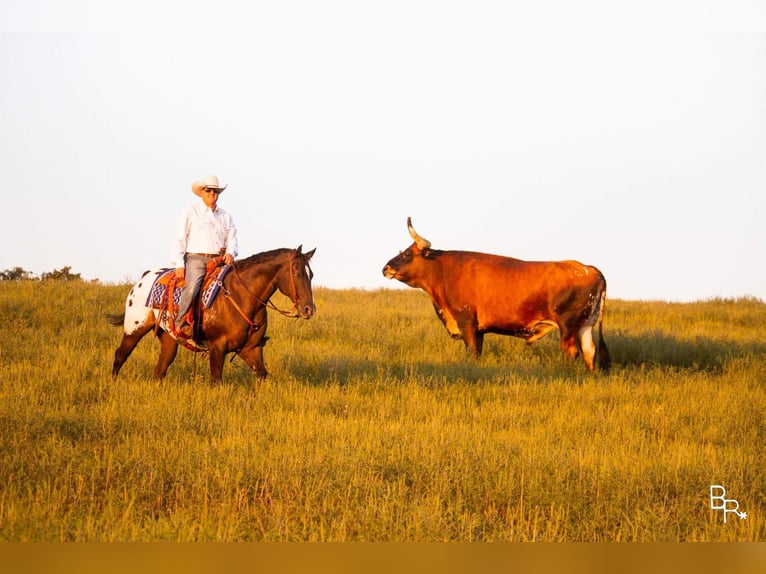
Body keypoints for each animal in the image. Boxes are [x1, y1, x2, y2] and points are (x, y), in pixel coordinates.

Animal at [107, 246, 316, 384]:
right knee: (120, 355)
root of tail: (144, 278)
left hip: (168, 338)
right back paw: (113, 383)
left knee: (161, 368)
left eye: (311, 274)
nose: (309, 309)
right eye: (297, 273)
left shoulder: (251, 348)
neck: (242, 295)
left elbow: (262, 375)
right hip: (134, 329)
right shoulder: (217, 347)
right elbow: (216, 380)